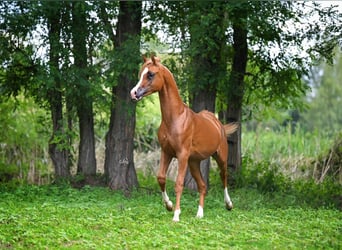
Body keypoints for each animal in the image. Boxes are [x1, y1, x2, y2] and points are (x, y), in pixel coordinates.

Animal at [130, 56, 236, 221]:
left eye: (151, 74)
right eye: (141, 73)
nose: (134, 93)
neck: (175, 119)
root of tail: (217, 123)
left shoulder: (182, 155)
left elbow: (179, 183)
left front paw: (176, 215)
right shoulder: (167, 152)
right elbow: (161, 178)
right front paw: (169, 205)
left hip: (220, 157)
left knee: (223, 177)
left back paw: (229, 204)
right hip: (194, 163)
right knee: (202, 186)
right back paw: (199, 214)